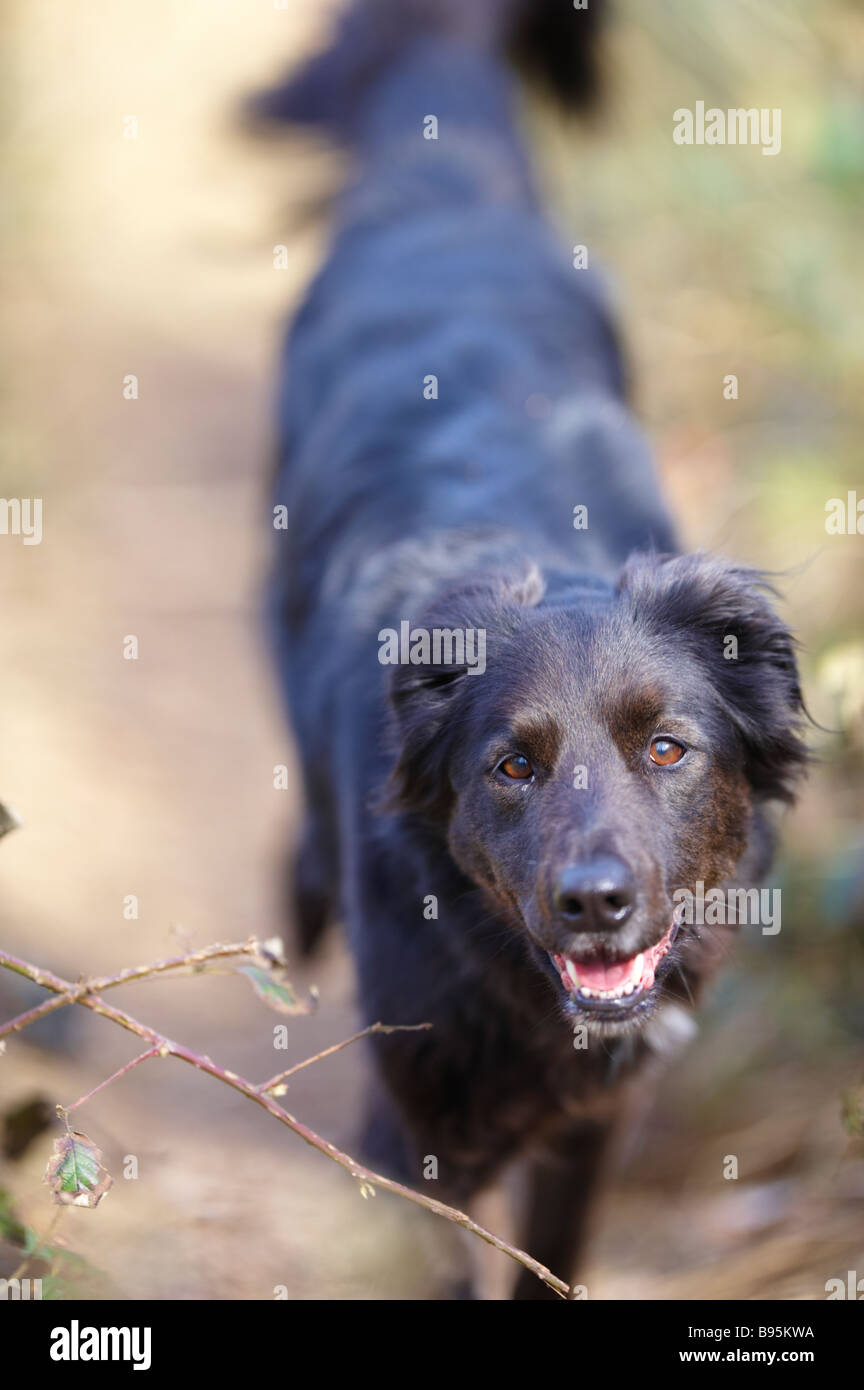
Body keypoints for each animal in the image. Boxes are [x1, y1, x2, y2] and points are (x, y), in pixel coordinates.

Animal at [261, 2, 811, 1301]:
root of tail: (445, 185)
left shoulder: (595, 1123)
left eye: (668, 749)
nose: (595, 903)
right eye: (511, 767)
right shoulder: (418, 1139)